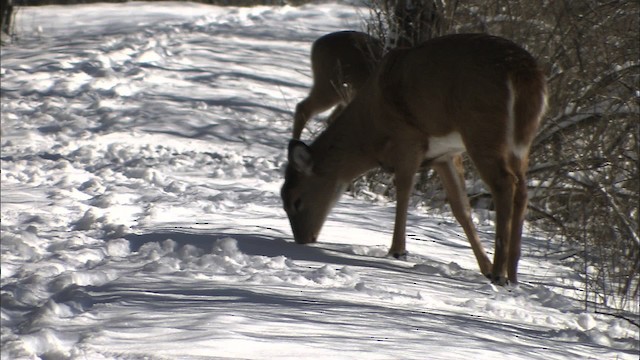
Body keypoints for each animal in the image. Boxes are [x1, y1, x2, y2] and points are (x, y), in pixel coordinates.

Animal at [282, 33, 548, 284]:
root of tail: (524, 74)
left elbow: (403, 191)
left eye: (296, 201)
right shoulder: (445, 155)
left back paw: (499, 273)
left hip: (482, 130)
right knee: (522, 192)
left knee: (504, 184)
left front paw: (398, 251)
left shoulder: (408, 140)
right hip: (520, 143)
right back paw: (512, 274)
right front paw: (483, 266)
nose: (303, 240)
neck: (370, 133)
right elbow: (460, 207)